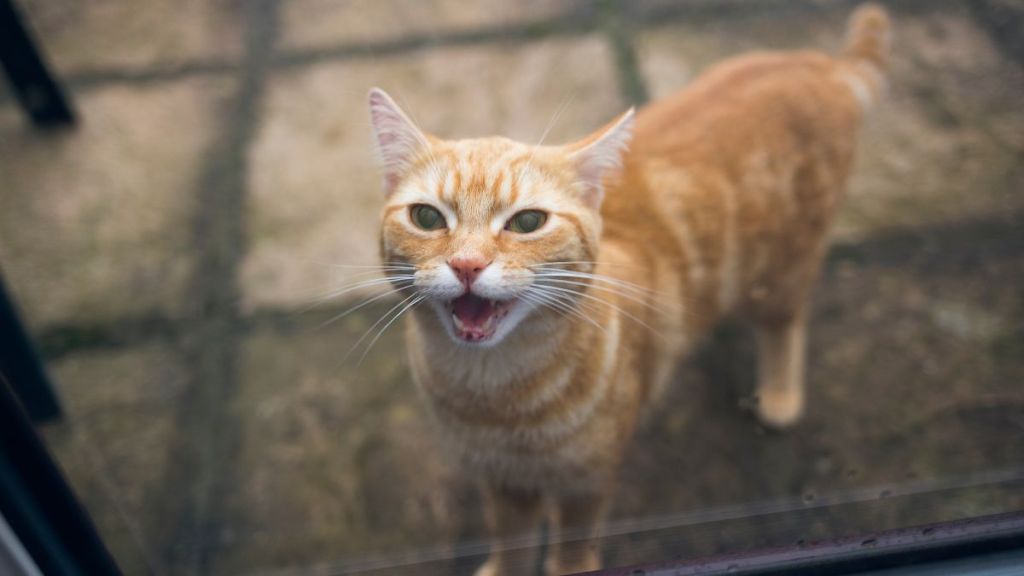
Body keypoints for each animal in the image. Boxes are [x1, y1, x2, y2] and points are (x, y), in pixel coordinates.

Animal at [368, 5, 888, 573]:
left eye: (527, 222)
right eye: (426, 217)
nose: (466, 264)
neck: (496, 397)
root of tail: (820, 65)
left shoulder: (588, 481)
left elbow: (573, 549)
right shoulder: (503, 482)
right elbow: (511, 542)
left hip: (782, 271)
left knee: (786, 324)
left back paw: (779, 395)